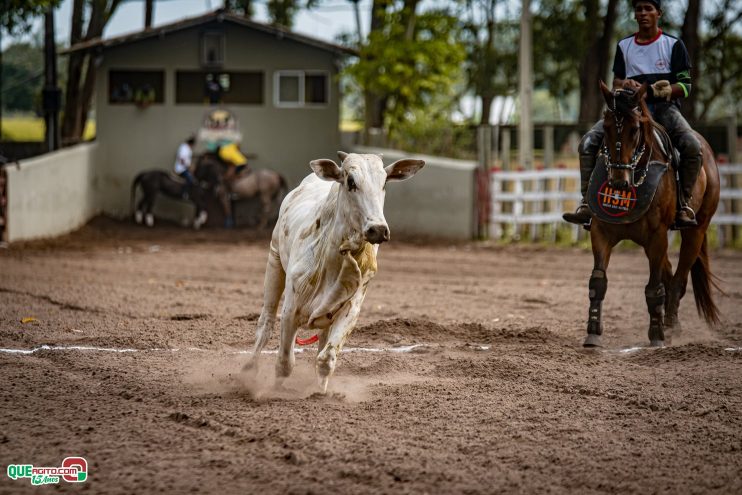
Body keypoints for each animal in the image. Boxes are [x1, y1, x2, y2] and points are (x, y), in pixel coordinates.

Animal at [244, 151, 424, 392]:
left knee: (321, 342)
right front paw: (273, 391)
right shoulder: (290, 309)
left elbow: (326, 359)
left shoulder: (351, 307)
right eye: (351, 181)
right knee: (265, 323)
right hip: (274, 261)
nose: (378, 229)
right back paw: (248, 370)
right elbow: (284, 362)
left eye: (384, 182)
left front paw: (320, 393)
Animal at [584, 82, 724, 348]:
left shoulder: (657, 236)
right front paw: (593, 333)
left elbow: (654, 287)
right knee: (669, 274)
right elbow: (598, 281)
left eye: (635, 129)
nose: (618, 184)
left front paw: (657, 334)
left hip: (696, 230)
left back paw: (670, 325)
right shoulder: (601, 231)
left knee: (678, 279)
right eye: (606, 128)